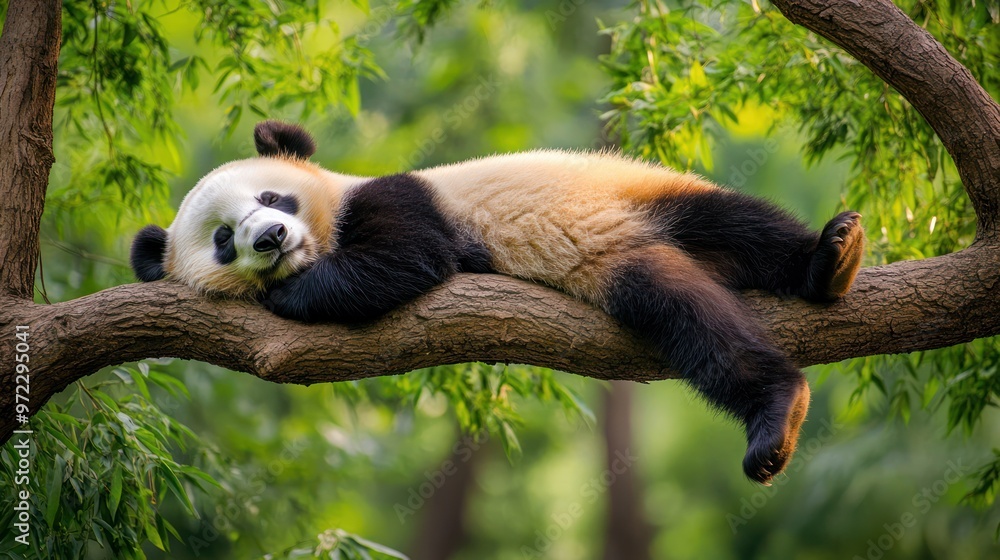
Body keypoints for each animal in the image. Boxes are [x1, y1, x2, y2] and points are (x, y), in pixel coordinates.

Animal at [131, 120, 865, 484]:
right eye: (223, 240)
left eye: (271, 198)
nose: (271, 239)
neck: (332, 213)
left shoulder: (400, 199)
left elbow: (405, 259)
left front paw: (290, 293)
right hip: (637, 241)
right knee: (714, 266)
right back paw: (825, 274)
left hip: (645, 196)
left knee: (718, 278)